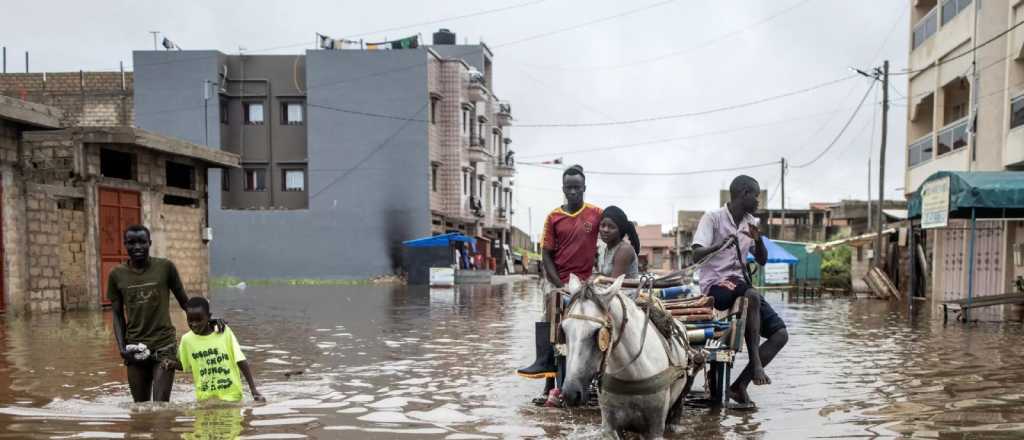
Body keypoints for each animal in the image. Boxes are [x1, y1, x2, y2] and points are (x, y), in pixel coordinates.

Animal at [557, 274, 692, 437]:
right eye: (564, 330)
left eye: (597, 333)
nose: (570, 394)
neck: (632, 374)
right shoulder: (610, 427)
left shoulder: (655, 429)